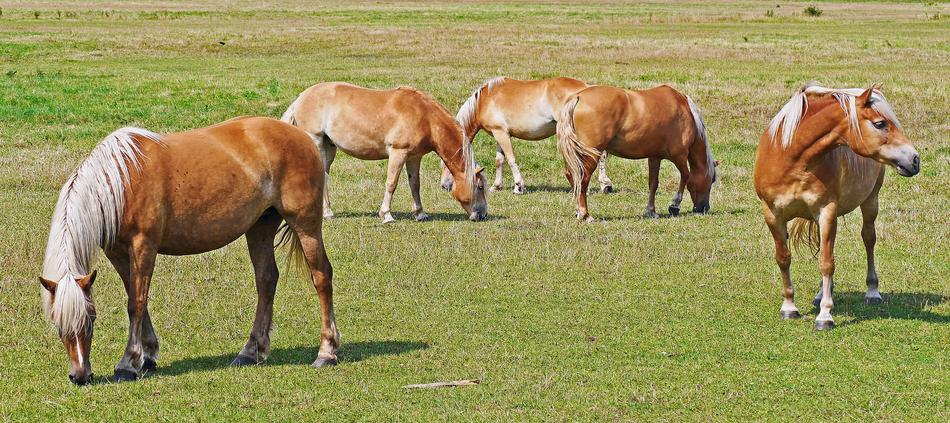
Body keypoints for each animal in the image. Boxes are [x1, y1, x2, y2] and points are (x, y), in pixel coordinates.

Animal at [39, 117, 339, 385]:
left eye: (90, 320)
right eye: (57, 323)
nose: (80, 376)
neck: (122, 182)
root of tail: (302, 136)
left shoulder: (143, 246)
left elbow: (136, 303)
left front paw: (128, 364)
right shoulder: (117, 252)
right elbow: (135, 297)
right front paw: (148, 356)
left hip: (305, 224)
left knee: (321, 276)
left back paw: (327, 352)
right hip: (260, 227)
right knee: (266, 280)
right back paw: (251, 351)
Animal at [281, 82, 488, 223]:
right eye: (479, 187)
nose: (482, 215)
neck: (425, 117)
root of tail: (301, 97)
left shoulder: (414, 157)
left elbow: (415, 184)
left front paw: (420, 214)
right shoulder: (398, 152)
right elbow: (391, 183)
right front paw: (386, 215)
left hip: (328, 146)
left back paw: (327, 212)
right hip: (316, 140)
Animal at [439, 76, 613, 194]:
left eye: (446, 163)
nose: (444, 186)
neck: (484, 101)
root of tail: (585, 89)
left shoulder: (501, 133)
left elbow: (511, 159)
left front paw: (518, 186)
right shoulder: (499, 134)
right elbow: (499, 161)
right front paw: (496, 186)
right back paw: (604, 185)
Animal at [557, 84, 717, 221]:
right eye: (712, 180)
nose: (704, 208)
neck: (685, 111)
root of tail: (578, 96)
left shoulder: (654, 157)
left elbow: (653, 184)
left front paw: (651, 211)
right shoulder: (679, 156)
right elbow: (686, 176)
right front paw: (674, 205)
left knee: (572, 176)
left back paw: (578, 210)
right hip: (591, 155)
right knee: (582, 180)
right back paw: (585, 214)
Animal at [753, 83, 920, 330]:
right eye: (880, 123)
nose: (915, 159)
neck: (791, 159)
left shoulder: (826, 211)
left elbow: (826, 262)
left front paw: (825, 316)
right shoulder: (773, 214)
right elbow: (784, 258)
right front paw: (789, 307)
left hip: (870, 202)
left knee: (868, 239)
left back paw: (872, 292)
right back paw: (821, 294)